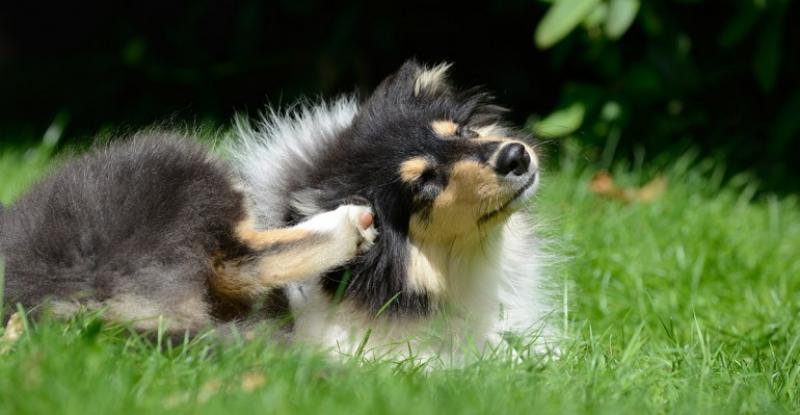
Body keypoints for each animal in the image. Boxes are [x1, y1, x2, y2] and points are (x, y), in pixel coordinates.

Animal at [0, 60, 560, 362]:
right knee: (237, 261)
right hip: (178, 164)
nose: (517, 156)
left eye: (462, 132)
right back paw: (345, 225)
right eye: (425, 181)